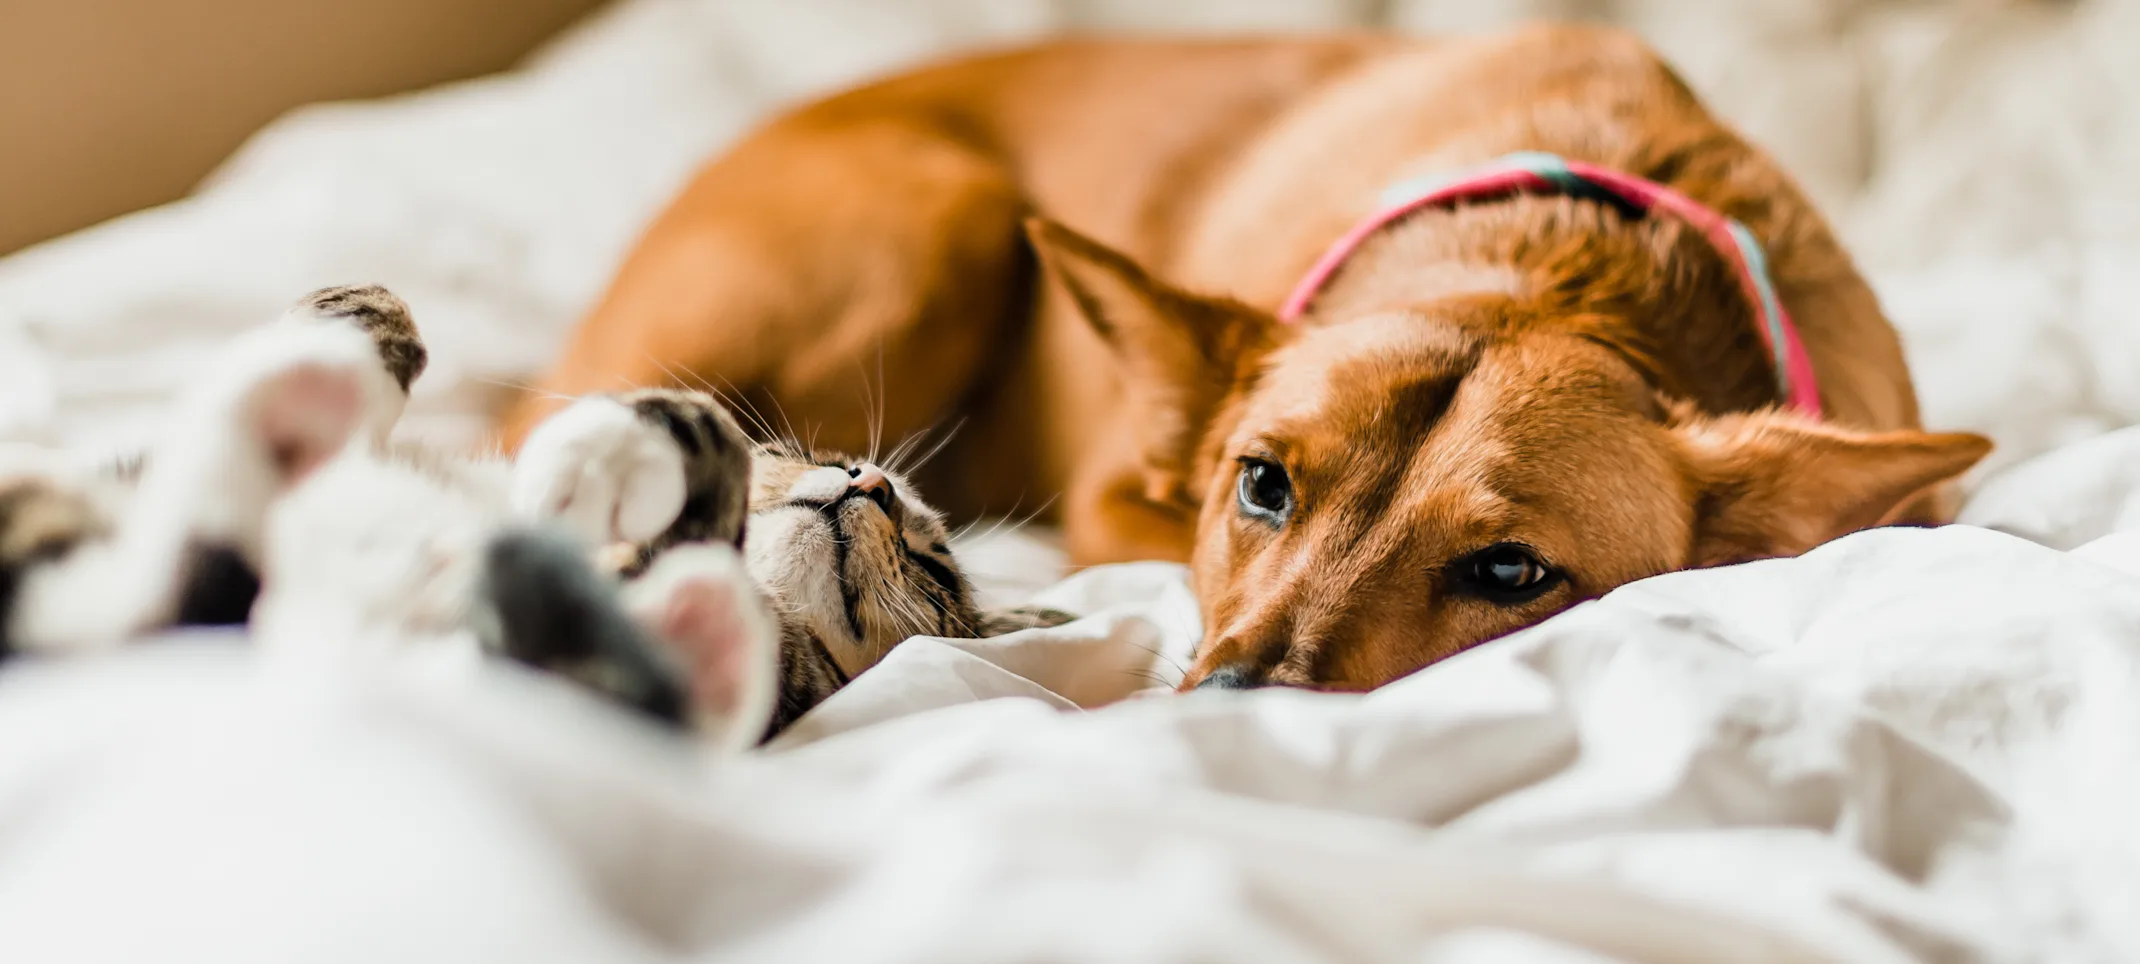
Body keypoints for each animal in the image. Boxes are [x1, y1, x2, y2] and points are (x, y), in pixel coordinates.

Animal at [0, 282, 1070, 741]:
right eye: (813, 457)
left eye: (934, 565)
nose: (870, 482)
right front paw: (361, 326)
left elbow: (703, 440)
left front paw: (599, 462)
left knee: (173, 584)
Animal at [505, 26, 1985, 694]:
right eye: (1261, 485)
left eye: (1512, 574)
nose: (1225, 701)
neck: (1562, 264)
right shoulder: (1120, 497)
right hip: (934, 225)